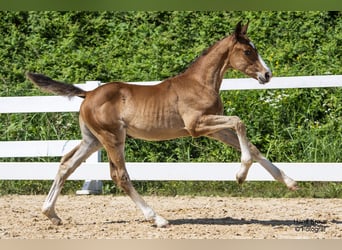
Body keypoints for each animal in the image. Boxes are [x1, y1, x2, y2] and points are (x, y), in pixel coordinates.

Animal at [26, 22, 296, 229]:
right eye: (248, 51)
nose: (267, 75)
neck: (200, 83)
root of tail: (88, 93)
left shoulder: (215, 130)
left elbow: (252, 146)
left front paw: (289, 181)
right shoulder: (196, 126)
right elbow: (240, 122)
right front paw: (240, 175)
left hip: (93, 140)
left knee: (66, 164)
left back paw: (51, 214)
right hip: (112, 137)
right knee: (120, 176)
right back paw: (157, 218)